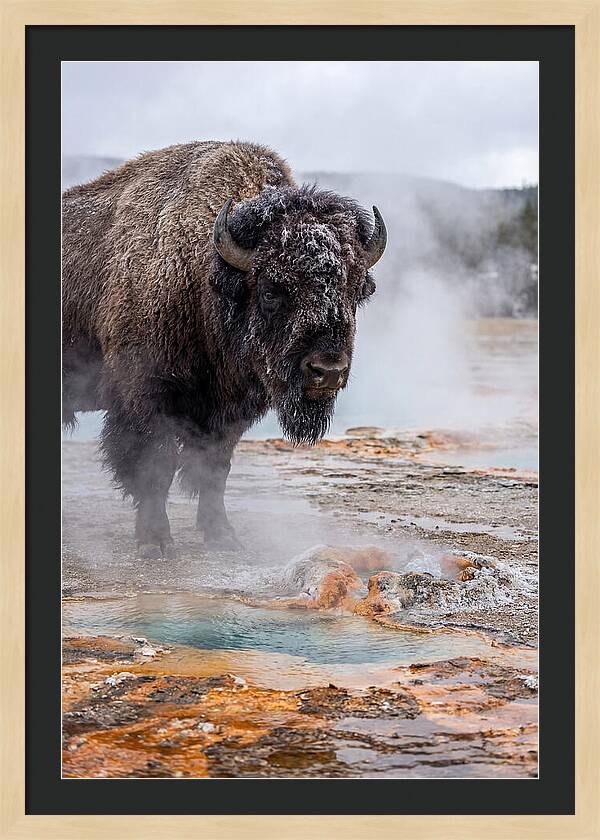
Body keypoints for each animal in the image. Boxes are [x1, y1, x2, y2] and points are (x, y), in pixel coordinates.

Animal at [62, 141, 386, 556]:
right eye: (270, 291)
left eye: (355, 290)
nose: (327, 371)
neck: (205, 276)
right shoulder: (144, 400)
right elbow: (155, 467)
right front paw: (155, 542)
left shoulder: (227, 414)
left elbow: (215, 471)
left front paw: (223, 536)